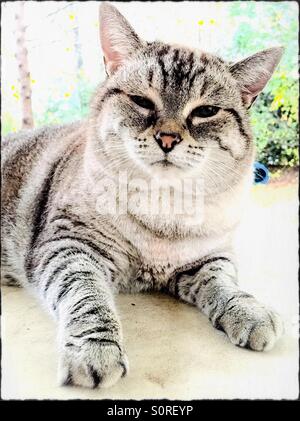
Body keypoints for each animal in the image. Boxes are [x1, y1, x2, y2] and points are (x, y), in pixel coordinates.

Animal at [1, 2, 284, 388]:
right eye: (141, 101)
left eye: (206, 111)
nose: (168, 138)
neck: (163, 209)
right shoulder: (69, 247)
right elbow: (87, 298)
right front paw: (95, 350)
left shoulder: (210, 257)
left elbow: (224, 285)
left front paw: (249, 310)